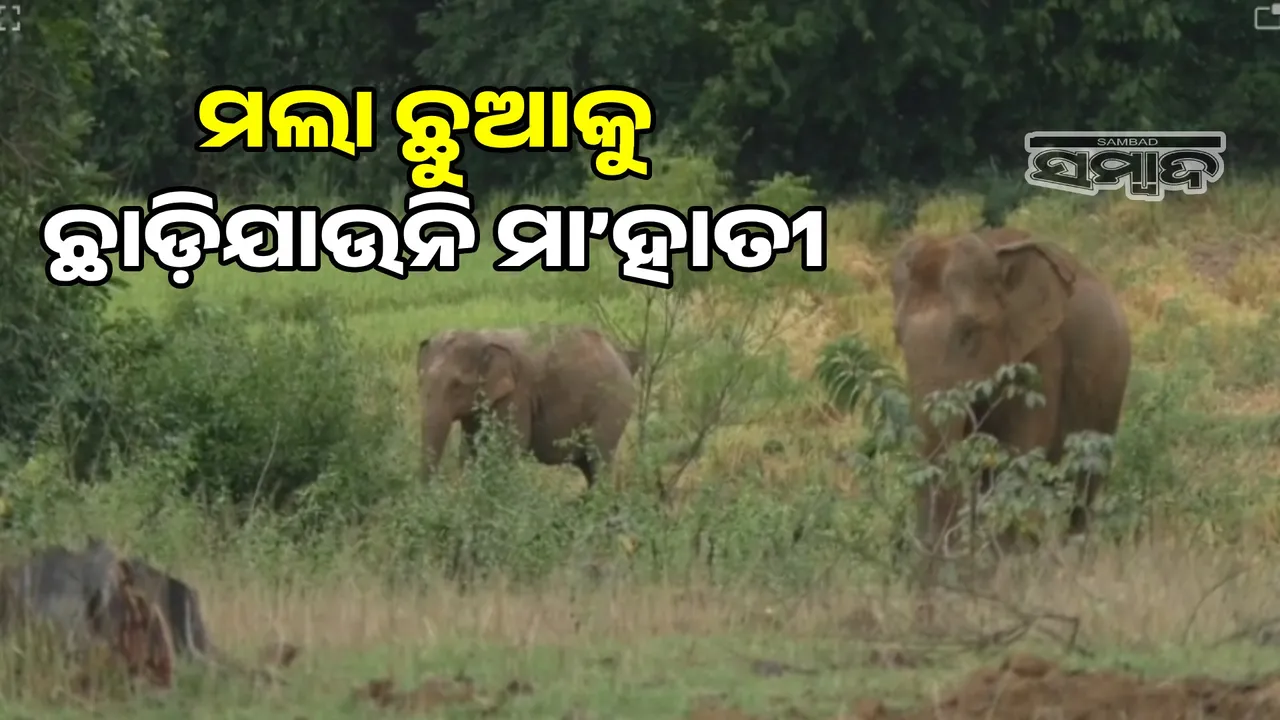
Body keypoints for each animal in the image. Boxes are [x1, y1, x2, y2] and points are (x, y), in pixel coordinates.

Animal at [417, 325, 642, 487]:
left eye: (456, 385)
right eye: (420, 380)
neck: (480, 336)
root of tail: (623, 358)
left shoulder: (517, 395)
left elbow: (508, 448)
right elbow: (471, 449)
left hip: (613, 403)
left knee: (597, 457)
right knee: (588, 464)